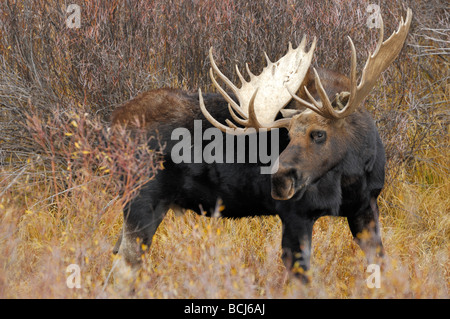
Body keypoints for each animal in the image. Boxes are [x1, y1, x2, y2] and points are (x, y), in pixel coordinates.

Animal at [111, 10, 412, 284]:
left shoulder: (366, 206)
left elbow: (381, 264)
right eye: (287, 134)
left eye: (319, 134)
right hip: (141, 198)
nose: (279, 179)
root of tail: (112, 124)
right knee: (125, 264)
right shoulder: (296, 214)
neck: (352, 174)